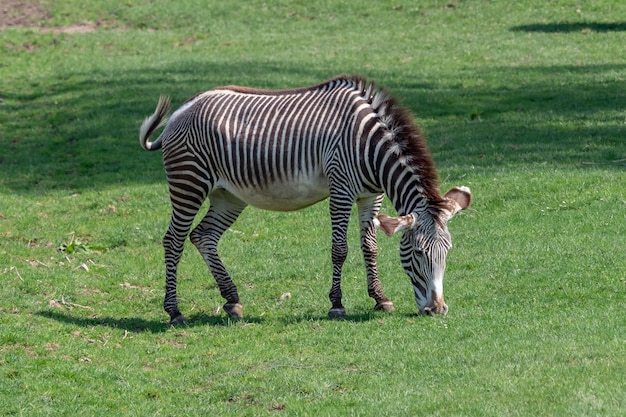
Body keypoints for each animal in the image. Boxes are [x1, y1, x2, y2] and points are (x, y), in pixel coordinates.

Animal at [136, 75, 468, 324]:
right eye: (418, 253)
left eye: (448, 253)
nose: (437, 310)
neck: (369, 144)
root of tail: (181, 110)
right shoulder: (341, 188)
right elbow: (340, 249)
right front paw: (337, 305)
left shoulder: (370, 195)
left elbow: (370, 247)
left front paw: (380, 298)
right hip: (189, 183)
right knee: (174, 240)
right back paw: (174, 311)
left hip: (227, 195)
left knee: (203, 236)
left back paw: (232, 300)